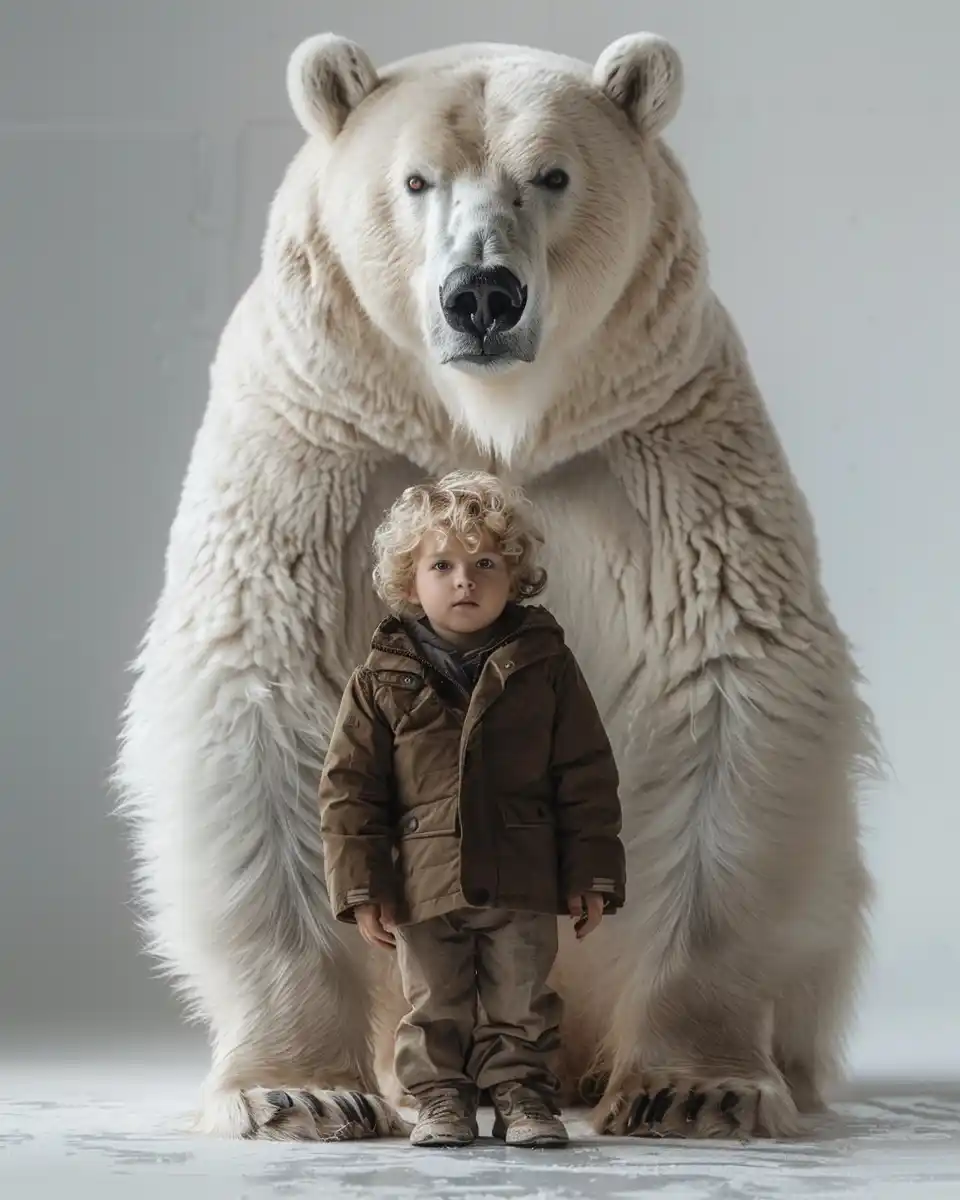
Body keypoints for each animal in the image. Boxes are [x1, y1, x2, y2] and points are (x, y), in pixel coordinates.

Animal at [116, 31, 878, 1142]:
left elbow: (730, 690)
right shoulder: (321, 445)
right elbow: (262, 690)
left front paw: (698, 1086)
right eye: (414, 180)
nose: (481, 294)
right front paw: (295, 1090)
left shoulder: (662, 452)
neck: (494, 424)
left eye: (552, 175)